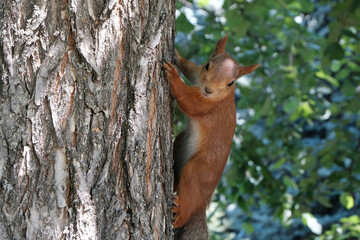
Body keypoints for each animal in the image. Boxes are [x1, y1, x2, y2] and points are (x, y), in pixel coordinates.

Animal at [165, 34, 260, 239]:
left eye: (231, 83)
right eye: (208, 65)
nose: (208, 90)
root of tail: (202, 205)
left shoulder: (208, 106)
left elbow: (188, 101)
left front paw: (173, 76)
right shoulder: (197, 75)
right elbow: (191, 68)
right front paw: (176, 56)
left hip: (197, 172)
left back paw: (178, 214)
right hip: (180, 142)